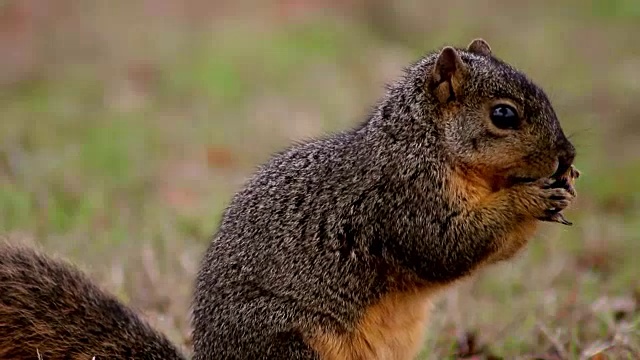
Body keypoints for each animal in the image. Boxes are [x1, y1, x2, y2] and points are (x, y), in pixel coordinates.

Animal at [1, 39, 580, 360]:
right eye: (503, 115)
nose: (567, 154)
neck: (423, 143)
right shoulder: (401, 198)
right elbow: (445, 246)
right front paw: (530, 198)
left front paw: (563, 191)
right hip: (286, 343)